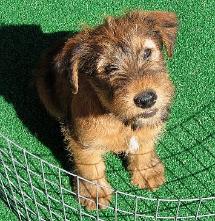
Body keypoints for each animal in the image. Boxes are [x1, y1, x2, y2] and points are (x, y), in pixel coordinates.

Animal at [36, 9, 178, 209]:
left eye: (147, 52)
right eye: (109, 68)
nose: (146, 99)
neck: (120, 120)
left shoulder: (148, 128)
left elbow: (143, 150)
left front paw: (146, 171)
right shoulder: (82, 142)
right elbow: (91, 167)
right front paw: (94, 193)